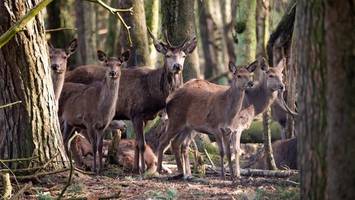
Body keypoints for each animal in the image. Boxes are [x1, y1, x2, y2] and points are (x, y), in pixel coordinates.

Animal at [64, 30, 197, 174]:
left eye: (183, 55)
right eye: (167, 55)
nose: (177, 66)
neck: (154, 94)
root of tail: (67, 75)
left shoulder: (144, 117)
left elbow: (136, 143)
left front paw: (135, 168)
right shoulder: (136, 112)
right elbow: (142, 144)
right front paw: (142, 169)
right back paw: (80, 165)